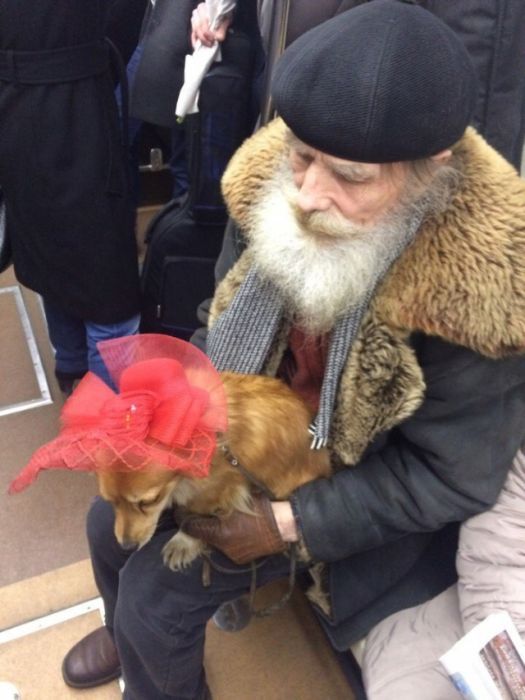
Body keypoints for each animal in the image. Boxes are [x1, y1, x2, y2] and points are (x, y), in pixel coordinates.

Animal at [96, 372, 330, 568]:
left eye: (148, 501)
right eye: (111, 502)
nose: (126, 546)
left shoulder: (218, 489)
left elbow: (194, 513)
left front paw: (184, 540)